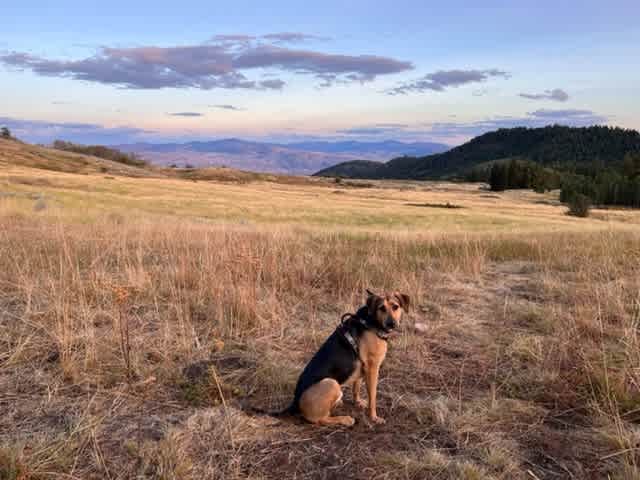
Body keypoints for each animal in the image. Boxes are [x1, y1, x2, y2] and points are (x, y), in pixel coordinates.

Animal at [276, 290, 410, 426]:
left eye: (395, 307)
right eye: (381, 308)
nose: (391, 324)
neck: (370, 321)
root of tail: (294, 403)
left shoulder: (362, 366)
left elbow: (356, 388)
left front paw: (358, 403)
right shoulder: (372, 368)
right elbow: (373, 397)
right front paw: (374, 417)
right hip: (331, 383)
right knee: (321, 419)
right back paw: (344, 419)